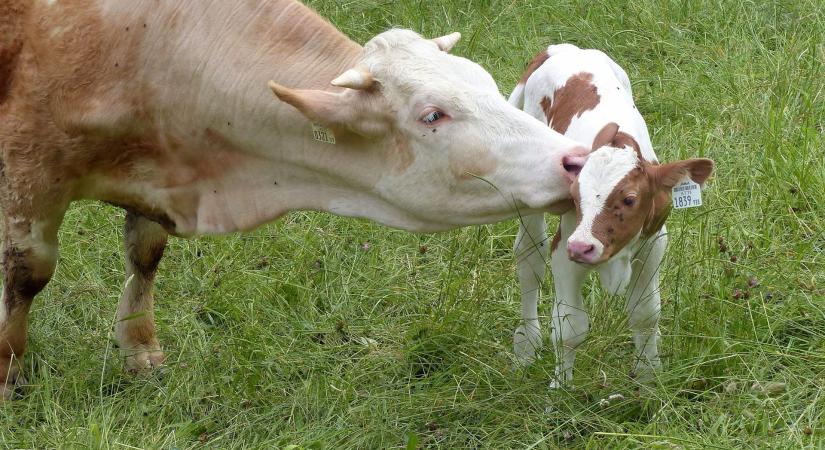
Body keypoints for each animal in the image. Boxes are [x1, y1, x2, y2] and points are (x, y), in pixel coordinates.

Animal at [0, 0, 584, 398]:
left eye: (483, 80)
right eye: (432, 114)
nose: (575, 159)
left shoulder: (155, 179)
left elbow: (145, 255)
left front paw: (140, 349)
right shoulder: (28, 166)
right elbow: (29, 271)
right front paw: (8, 369)